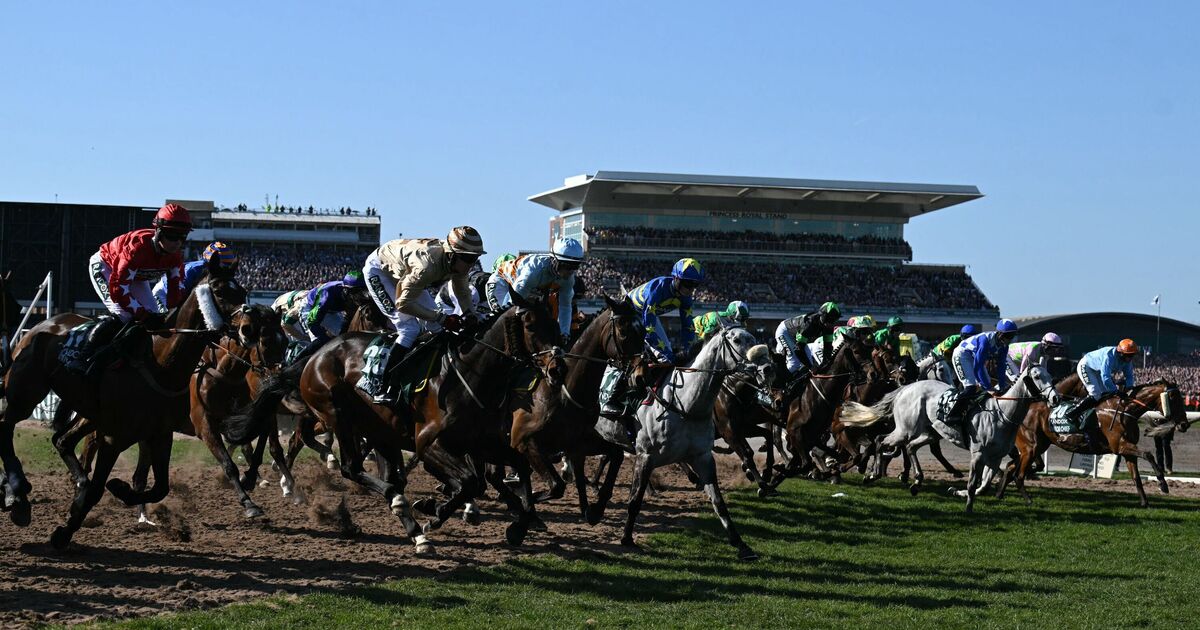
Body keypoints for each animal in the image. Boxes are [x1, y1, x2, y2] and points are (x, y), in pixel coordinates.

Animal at [0, 272, 250, 546]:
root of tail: (42, 325)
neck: (161, 367)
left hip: (88, 414)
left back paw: (71, 483)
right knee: (6, 427)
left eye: (243, 291)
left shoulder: (161, 436)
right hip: (25, 394)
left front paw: (118, 490)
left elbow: (160, 487)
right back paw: (17, 491)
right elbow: (97, 491)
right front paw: (63, 533)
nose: (247, 327)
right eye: (220, 291)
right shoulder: (113, 438)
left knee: (62, 440)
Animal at [616, 326, 772, 561]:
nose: (766, 367)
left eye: (754, 338)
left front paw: (741, 544)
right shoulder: (728, 431)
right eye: (736, 340)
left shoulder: (710, 450)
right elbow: (746, 452)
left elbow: (719, 501)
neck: (685, 403)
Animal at [840, 366, 1059, 512]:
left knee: (910, 447)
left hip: (930, 433)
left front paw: (956, 492)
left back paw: (916, 482)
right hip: (906, 429)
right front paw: (968, 506)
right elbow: (973, 484)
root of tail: (906, 388)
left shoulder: (995, 458)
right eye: (1037, 376)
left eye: (1051, 376)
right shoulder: (978, 454)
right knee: (881, 440)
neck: (1002, 414)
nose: (1055, 398)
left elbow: (983, 486)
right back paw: (872, 475)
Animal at [999, 378, 1188, 508]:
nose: (1184, 424)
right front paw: (1163, 484)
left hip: (1037, 446)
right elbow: (1148, 454)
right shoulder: (1120, 446)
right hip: (1031, 446)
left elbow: (1136, 477)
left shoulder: (1127, 452)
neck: (1126, 411)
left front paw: (1145, 502)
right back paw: (1027, 499)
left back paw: (999, 494)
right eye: (1173, 396)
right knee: (1018, 474)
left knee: (1011, 467)